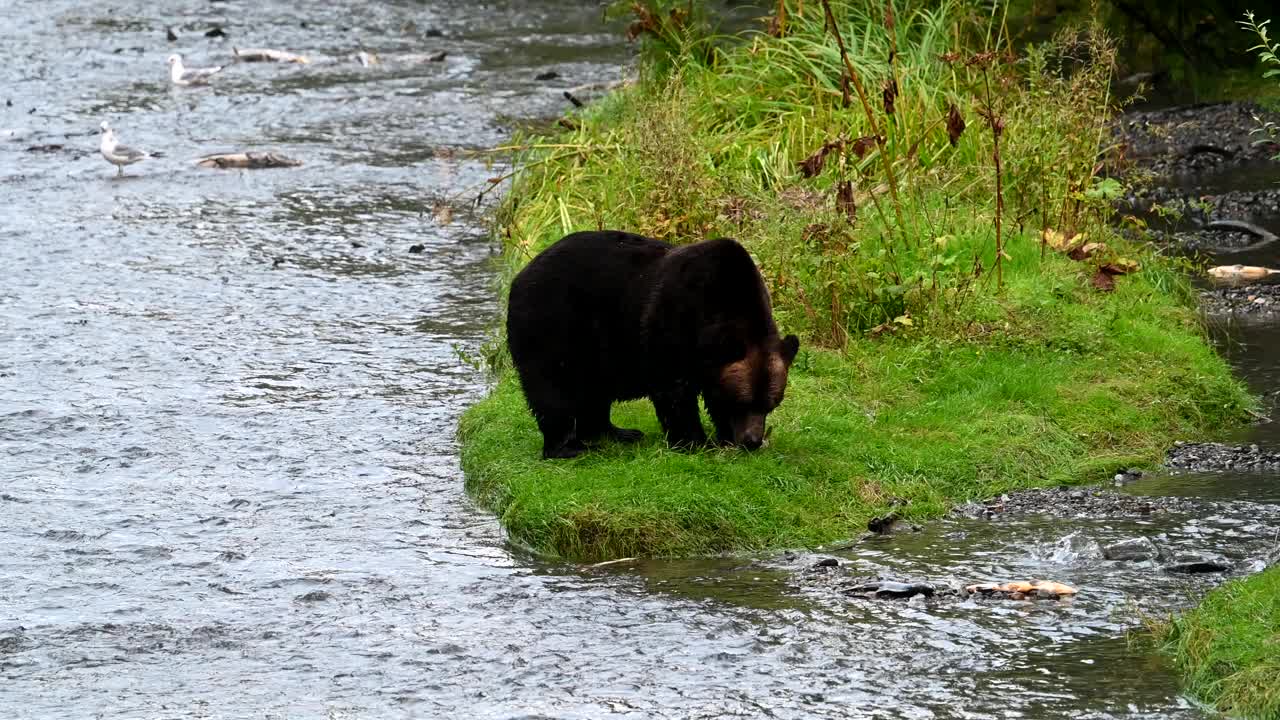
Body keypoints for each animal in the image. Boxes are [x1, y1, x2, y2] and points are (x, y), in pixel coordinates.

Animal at [501, 229, 793, 456]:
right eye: (743, 401)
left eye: (771, 404)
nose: (752, 441)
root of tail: (521, 274)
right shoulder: (673, 321)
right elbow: (673, 390)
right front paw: (694, 442)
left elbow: (713, 390)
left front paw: (725, 436)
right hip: (554, 324)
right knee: (552, 388)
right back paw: (568, 447)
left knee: (594, 392)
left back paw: (617, 433)